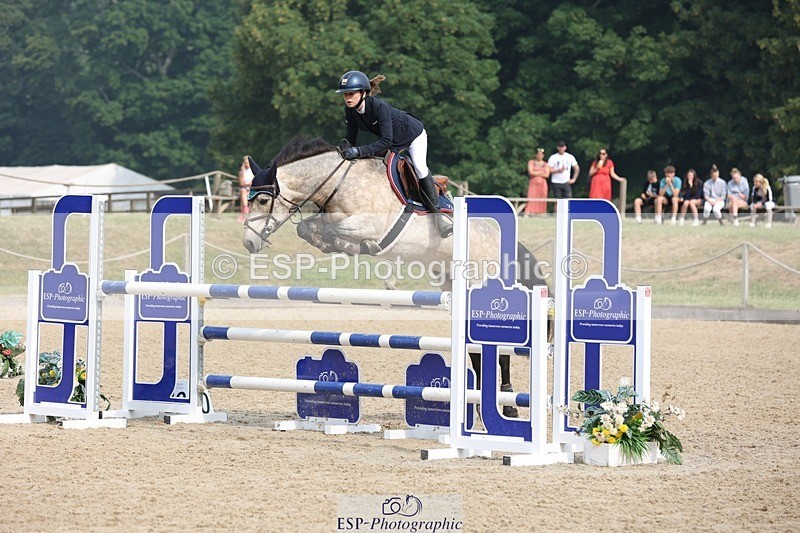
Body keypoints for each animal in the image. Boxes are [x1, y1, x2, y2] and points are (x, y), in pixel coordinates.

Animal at [242, 135, 549, 416]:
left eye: (263, 199)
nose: (249, 243)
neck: (340, 183)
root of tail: (505, 243)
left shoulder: (370, 224)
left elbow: (337, 231)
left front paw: (357, 246)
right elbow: (306, 228)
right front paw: (337, 245)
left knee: (501, 350)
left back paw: (507, 405)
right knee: (477, 350)